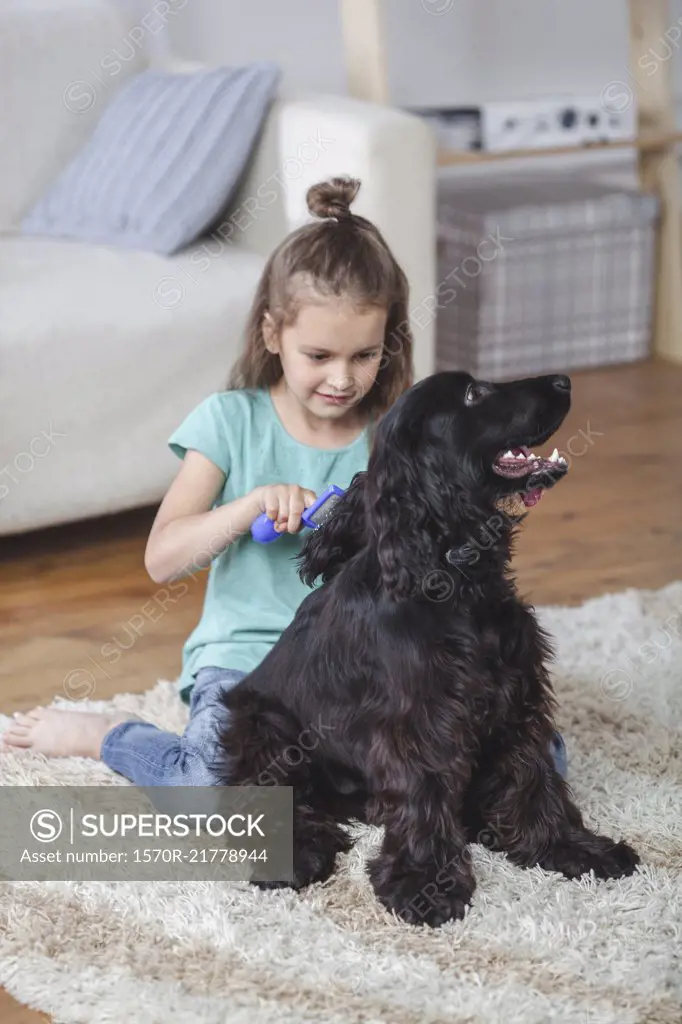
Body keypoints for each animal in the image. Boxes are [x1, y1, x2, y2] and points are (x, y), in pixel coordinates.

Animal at [214, 374, 638, 929]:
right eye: (473, 395)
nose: (563, 381)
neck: (456, 576)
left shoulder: (518, 704)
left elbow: (532, 779)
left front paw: (572, 848)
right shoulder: (419, 723)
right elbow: (423, 797)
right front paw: (425, 883)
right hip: (265, 727)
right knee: (267, 800)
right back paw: (300, 853)